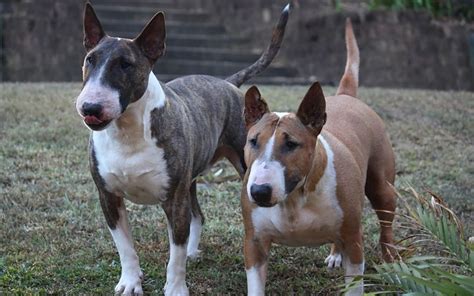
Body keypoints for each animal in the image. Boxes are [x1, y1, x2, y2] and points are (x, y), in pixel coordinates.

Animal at [75, 1, 292, 294]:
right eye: (90, 59)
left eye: (125, 64)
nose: (90, 107)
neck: (128, 132)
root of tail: (227, 82)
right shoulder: (108, 197)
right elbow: (125, 247)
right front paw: (130, 282)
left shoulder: (174, 201)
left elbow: (175, 254)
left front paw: (175, 287)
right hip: (190, 178)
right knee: (198, 215)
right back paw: (192, 251)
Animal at [241, 19, 396, 294]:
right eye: (253, 141)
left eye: (291, 144)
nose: (259, 192)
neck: (294, 197)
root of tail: (346, 95)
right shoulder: (254, 244)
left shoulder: (355, 243)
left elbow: (355, 282)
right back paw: (336, 254)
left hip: (381, 187)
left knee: (386, 224)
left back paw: (391, 264)